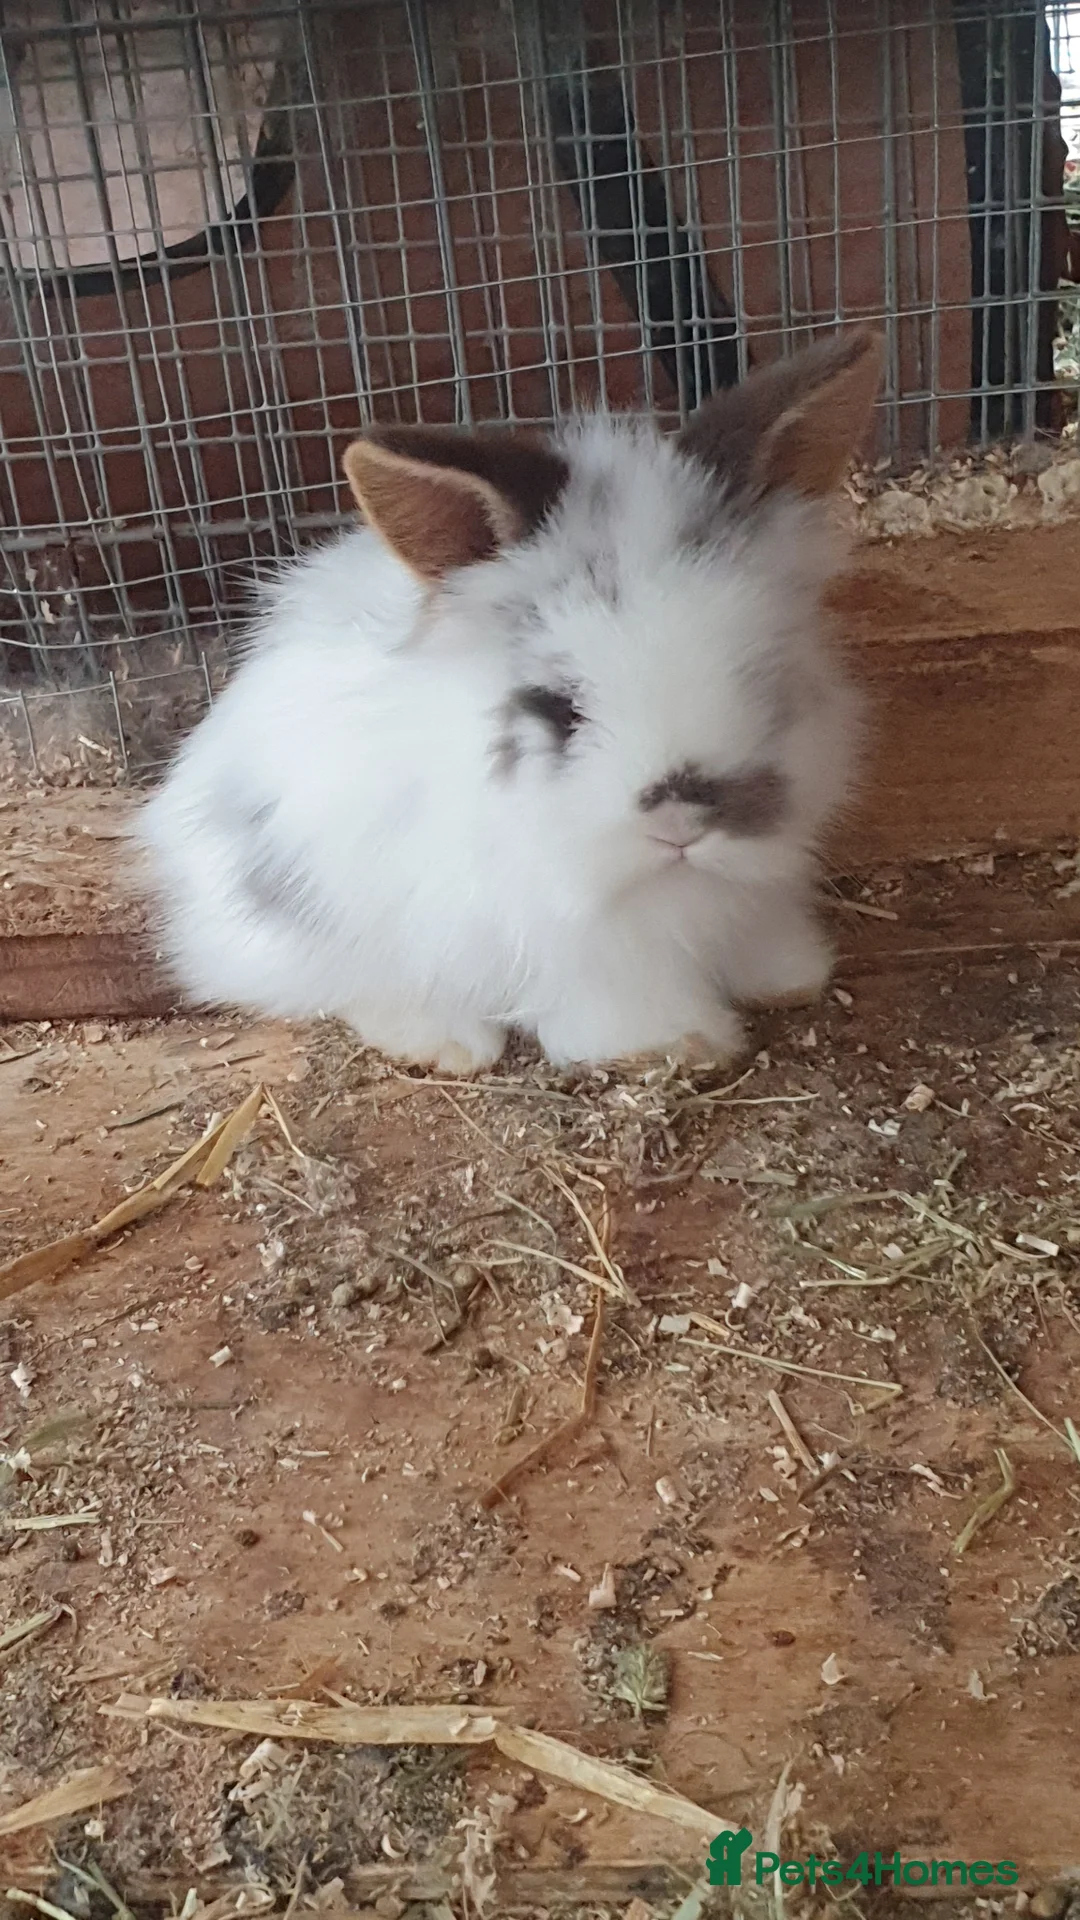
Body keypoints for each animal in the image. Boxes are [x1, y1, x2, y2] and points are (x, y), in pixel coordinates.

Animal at [138, 326, 883, 1073]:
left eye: (762, 676)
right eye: (561, 707)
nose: (684, 820)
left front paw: (790, 978)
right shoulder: (575, 943)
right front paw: (675, 1043)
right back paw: (446, 1042)